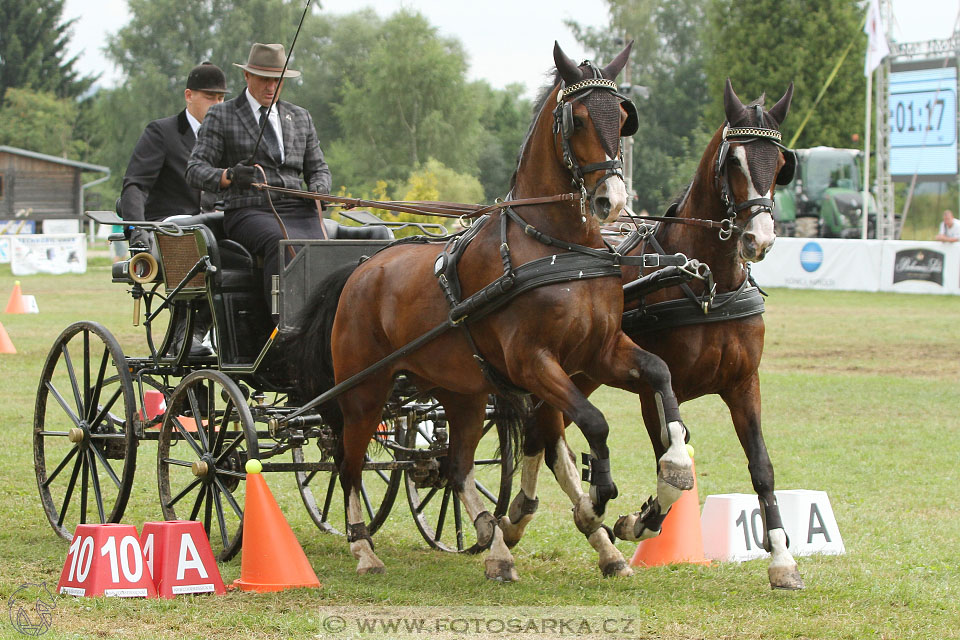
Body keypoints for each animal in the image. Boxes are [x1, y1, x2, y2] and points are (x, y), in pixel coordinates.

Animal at [288, 40, 692, 580]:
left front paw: (671, 475)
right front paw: (599, 499)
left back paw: (493, 543)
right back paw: (364, 548)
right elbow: (594, 423)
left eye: (624, 116)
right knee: (349, 463)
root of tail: (360, 268)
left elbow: (659, 374)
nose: (612, 200)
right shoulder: (533, 363)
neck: (557, 247)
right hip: (364, 391)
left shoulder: (600, 351)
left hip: (460, 391)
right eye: (580, 119)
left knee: (455, 466)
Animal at [498, 80, 808, 592]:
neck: (707, 284)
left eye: (781, 164)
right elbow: (669, 454)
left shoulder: (744, 383)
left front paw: (782, 560)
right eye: (734, 161)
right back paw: (533, 521)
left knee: (544, 428)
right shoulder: (655, 391)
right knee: (544, 428)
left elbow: (762, 467)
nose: (759, 239)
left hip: (580, 370)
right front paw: (638, 522)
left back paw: (536, 518)